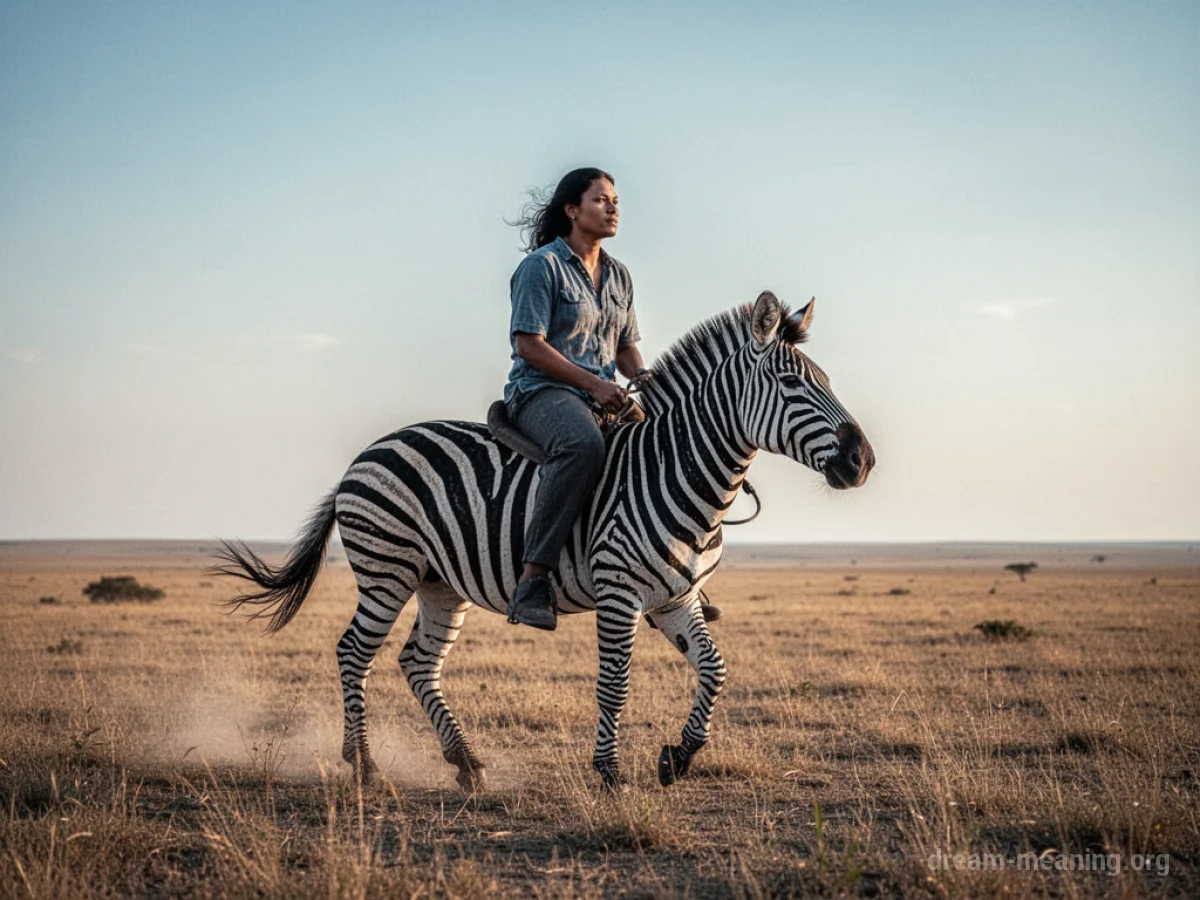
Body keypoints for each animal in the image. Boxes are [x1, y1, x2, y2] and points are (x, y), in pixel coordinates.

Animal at [216, 290, 874, 791]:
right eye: (790, 383)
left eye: (827, 381)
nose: (862, 460)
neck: (674, 471)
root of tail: (367, 451)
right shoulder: (618, 594)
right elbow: (615, 684)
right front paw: (608, 774)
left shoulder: (674, 598)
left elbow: (715, 668)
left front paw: (677, 757)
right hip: (387, 568)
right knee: (354, 652)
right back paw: (367, 768)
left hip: (439, 583)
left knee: (417, 661)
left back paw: (467, 764)